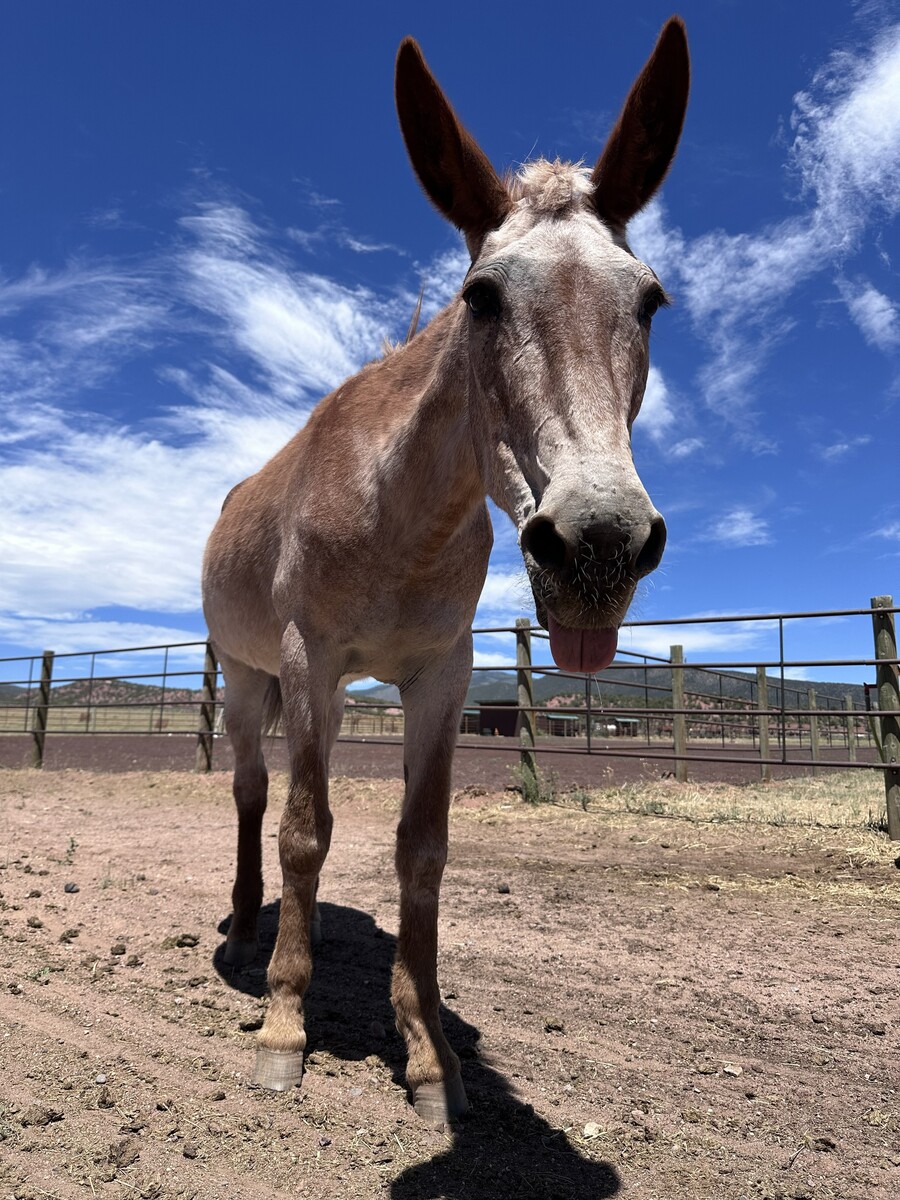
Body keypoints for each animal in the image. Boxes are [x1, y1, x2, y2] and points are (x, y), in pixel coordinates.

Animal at [202, 18, 689, 1124]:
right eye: (481, 297)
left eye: (650, 301)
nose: (597, 545)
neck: (400, 516)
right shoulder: (308, 662)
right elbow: (304, 830)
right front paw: (285, 1026)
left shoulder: (442, 677)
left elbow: (420, 849)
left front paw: (427, 1052)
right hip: (247, 677)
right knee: (253, 795)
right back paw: (251, 931)